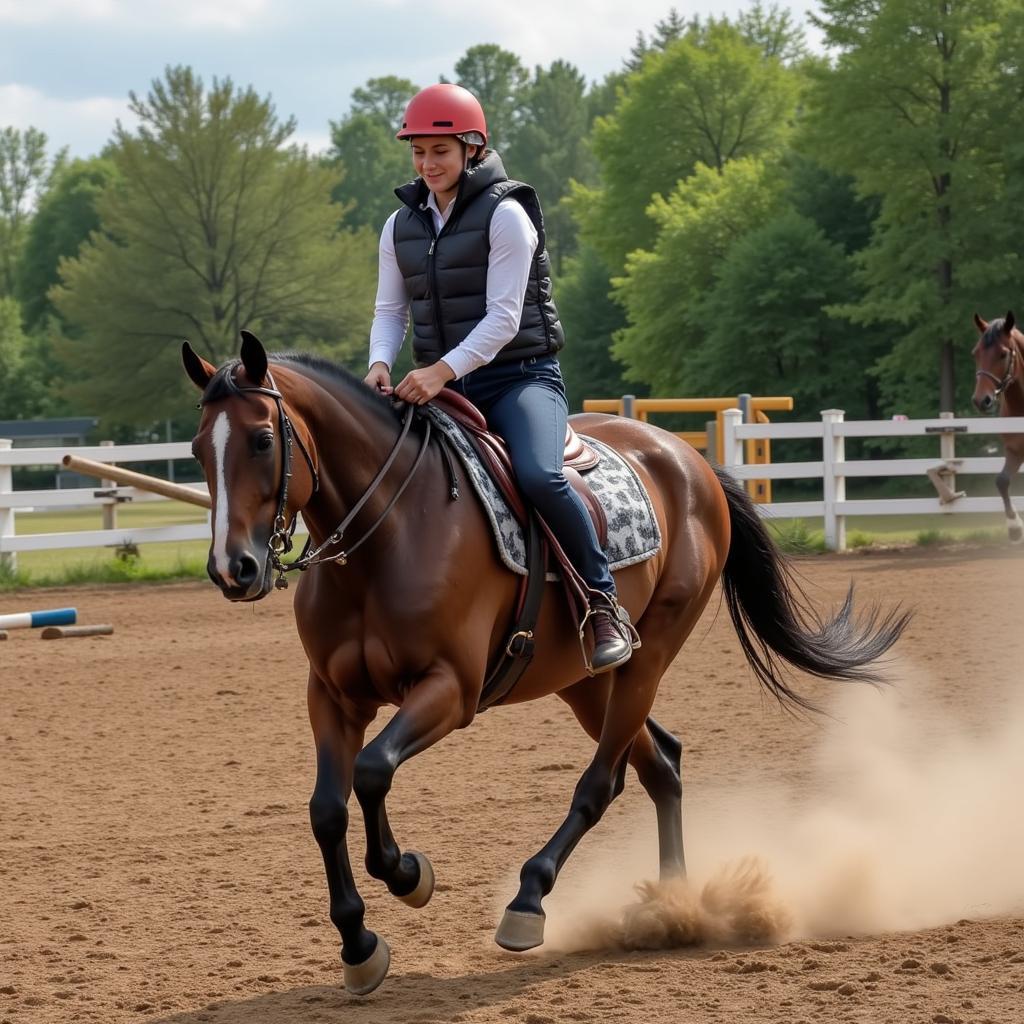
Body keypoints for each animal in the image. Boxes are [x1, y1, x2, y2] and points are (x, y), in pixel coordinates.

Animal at [182, 333, 905, 991]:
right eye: (196, 449)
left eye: (261, 441)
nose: (231, 568)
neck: (386, 535)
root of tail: (689, 461)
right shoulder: (331, 696)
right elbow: (327, 808)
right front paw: (359, 944)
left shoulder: (450, 690)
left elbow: (373, 769)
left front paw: (408, 874)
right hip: (584, 682)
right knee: (660, 765)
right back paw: (673, 905)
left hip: (646, 659)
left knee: (601, 783)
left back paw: (532, 901)